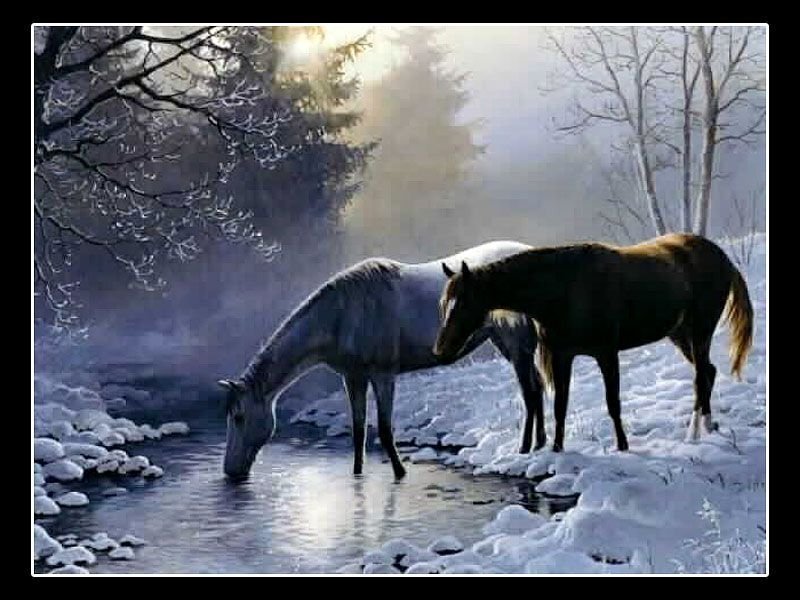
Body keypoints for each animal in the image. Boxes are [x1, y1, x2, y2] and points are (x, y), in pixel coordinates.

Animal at [218, 240, 546, 480]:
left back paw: (524, 449)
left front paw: (400, 473)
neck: (344, 314)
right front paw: (357, 474)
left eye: (239, 417)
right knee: (538, 389)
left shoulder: (383, 375)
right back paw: (539, 445)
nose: (230, 472)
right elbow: (359, 430)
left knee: (530, 394)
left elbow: (386, 430)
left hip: (517, 346)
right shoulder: (353, 377)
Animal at [433, 233, 754, 453]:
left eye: (463, 303)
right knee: (708, 372)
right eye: (443, 304)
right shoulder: (562, 356)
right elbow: (560, 405)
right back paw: (707, 429)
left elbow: (613, 403)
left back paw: (695, 434)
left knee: (701, 377)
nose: (440, 350)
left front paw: (623, 447)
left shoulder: (606, 354)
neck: (564, 288)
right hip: (680, 334)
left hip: (700, 332)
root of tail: (722, 257)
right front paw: (557, 450)